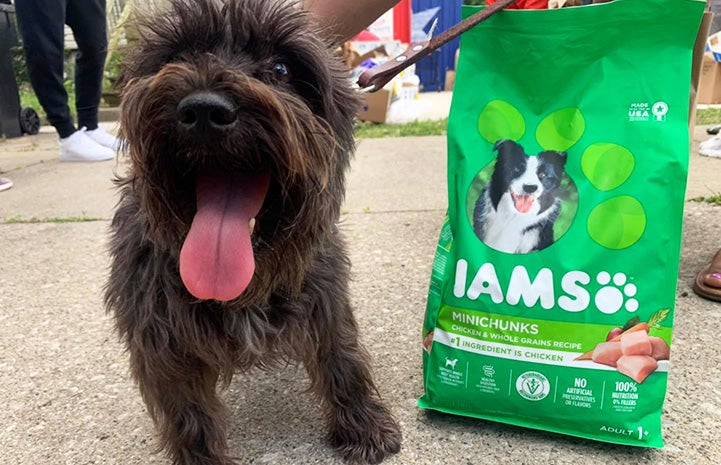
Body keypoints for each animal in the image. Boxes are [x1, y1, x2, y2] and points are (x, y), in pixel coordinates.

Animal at [105, 0, 402, 464]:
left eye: (281, 68)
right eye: (177, 55)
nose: (204, 111)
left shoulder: (326, 297)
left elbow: (341, 357)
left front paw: (363, 424)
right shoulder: (159, 339)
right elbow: (188, 414)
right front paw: (202, 460)